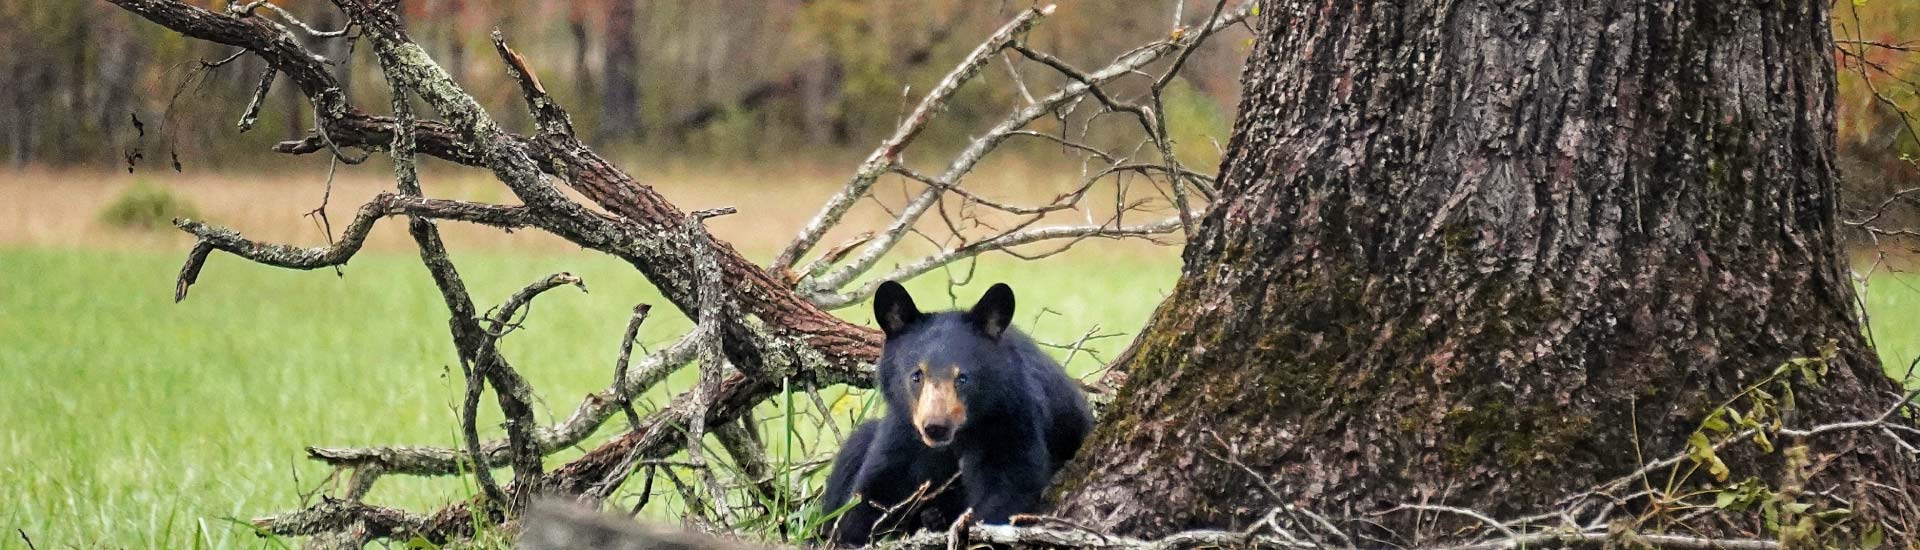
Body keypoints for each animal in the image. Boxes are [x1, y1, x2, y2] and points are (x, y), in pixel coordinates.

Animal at [817, 281, 1094, 546]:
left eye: (963, 378)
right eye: (916, 375)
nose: (936, 427)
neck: (959, 437)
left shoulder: (1013, 418)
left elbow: (1009, 483)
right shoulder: (903, 433)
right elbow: (876, 489)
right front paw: (849, 533)